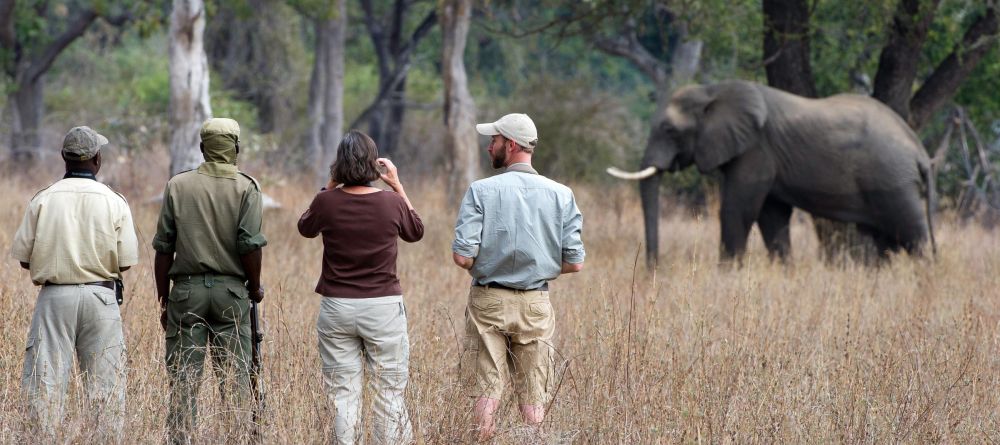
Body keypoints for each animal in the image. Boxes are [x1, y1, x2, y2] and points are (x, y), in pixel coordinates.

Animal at [608, 79, 936, 268]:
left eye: (669, 130)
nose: (653, 268)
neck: (713, 90)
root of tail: (919, 150)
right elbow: (772, 216)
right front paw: (784, 272)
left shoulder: (755, 149)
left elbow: (738, 209)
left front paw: (727, 274)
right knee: (884, 241)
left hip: (893, 180)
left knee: (912, 232)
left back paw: (926, 277)